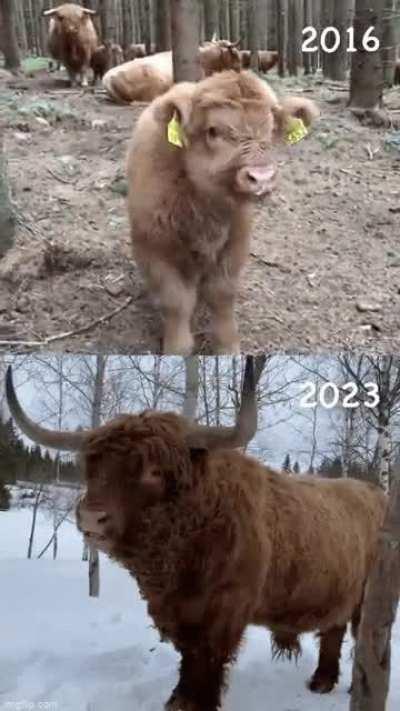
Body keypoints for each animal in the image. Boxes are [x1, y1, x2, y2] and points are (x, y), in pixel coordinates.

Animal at [5, 361, 387, 711]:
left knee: (364, 638)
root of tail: (374, 492)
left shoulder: (225, 608)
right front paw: (179, 699)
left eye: (154, 471)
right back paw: (321, 681)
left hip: (368, 597)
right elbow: (189, 655)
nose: (90, 517)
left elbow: (208, 656)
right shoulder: (178, 610)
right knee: (333, 630)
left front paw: (195, 702)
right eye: (91, 467)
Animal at [126, 69, 319, 354]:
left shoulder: (236, 242)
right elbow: (176, 300)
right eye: (213, 130)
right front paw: (177, 349)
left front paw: (228, 347)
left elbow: (222, 294)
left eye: (271, 128)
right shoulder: (154, 247)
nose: (261, 178)